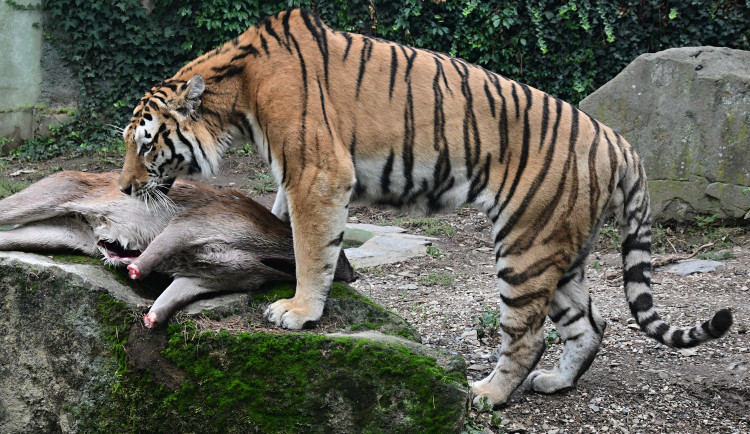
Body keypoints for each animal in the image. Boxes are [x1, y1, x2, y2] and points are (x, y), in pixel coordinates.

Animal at [119, 9, 736, 406]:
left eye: (145, 144)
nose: (124, 188)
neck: (237, 95)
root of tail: (620, 142)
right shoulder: (295, 175)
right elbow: (286, 226)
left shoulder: (317, 172)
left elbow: (313, 245)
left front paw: (298, 311)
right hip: (562, 249)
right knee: (592, 323)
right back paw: (556, 384)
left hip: (526, 243)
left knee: (529, 333)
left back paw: (487, 395)